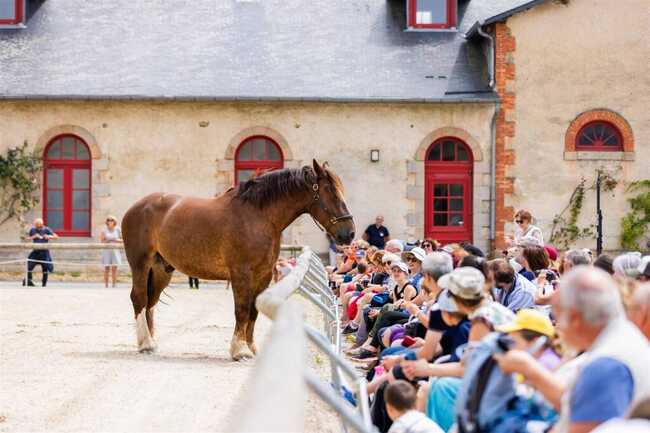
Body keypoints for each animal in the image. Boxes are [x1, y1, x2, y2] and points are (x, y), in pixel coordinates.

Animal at [121, 160, 354, 360]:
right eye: (331, 193)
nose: (349, 233)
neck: (258, 216)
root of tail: (136, 207)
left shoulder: (263, 274)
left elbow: (253, 310)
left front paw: (251, 348)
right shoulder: (241, 273)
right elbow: (241, 309)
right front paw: (239, 350)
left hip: (161, 269)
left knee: (151, 302)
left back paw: (152, 342)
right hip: (141, 265)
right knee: (139, 298)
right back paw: (146, 344)